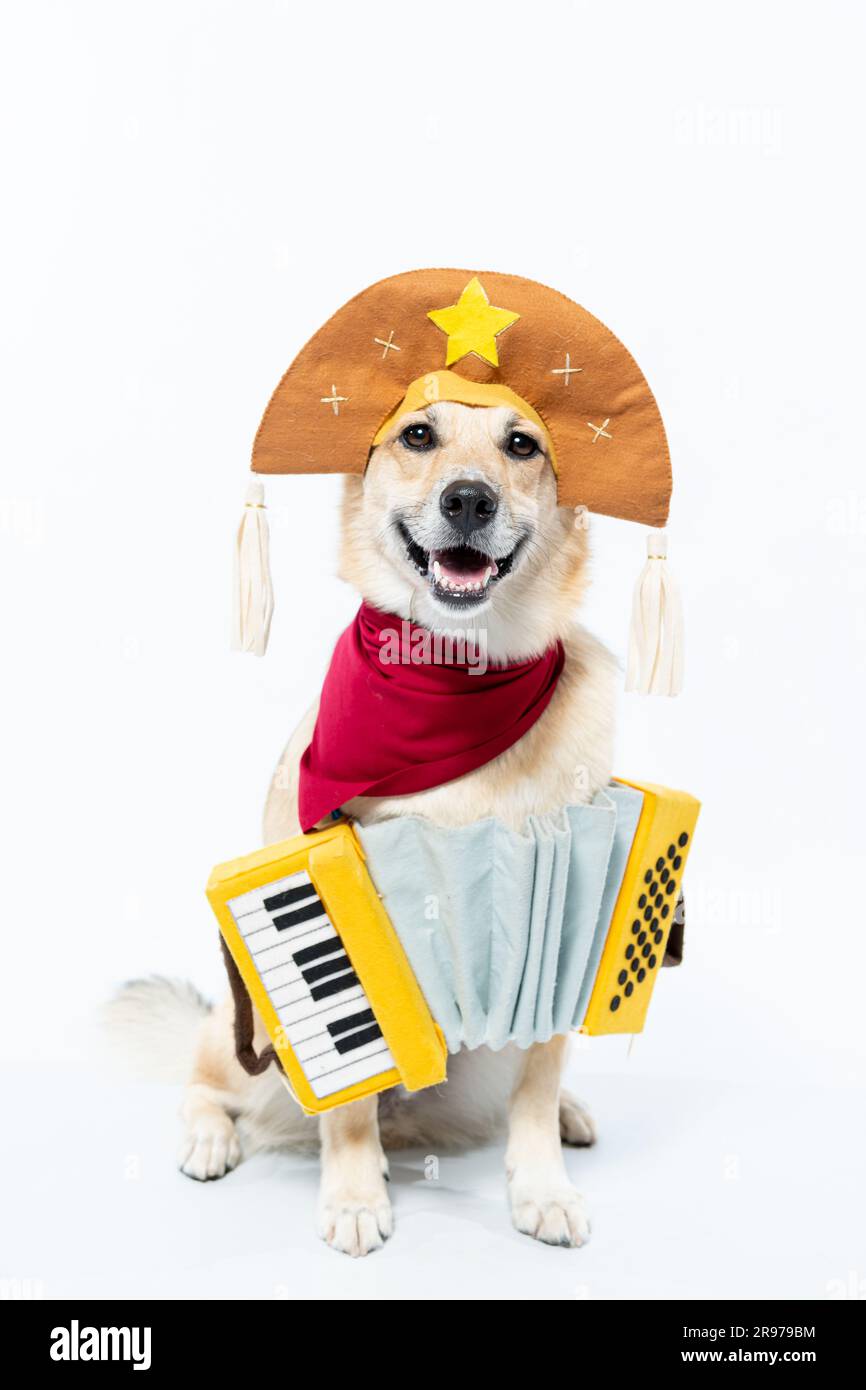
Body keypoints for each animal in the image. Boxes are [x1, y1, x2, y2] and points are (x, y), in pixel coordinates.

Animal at [107, 397, 617, 1256]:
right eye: (418, 434)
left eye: (522, 445)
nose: (469, 501)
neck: (454, 684)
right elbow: (346, 1110)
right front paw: (352, 1197)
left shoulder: (558, 939)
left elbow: (536, 1094)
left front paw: (542, 1188)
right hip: (245, 1036)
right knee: (204, 1081)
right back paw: (210, 1140)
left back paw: (575, 1113)